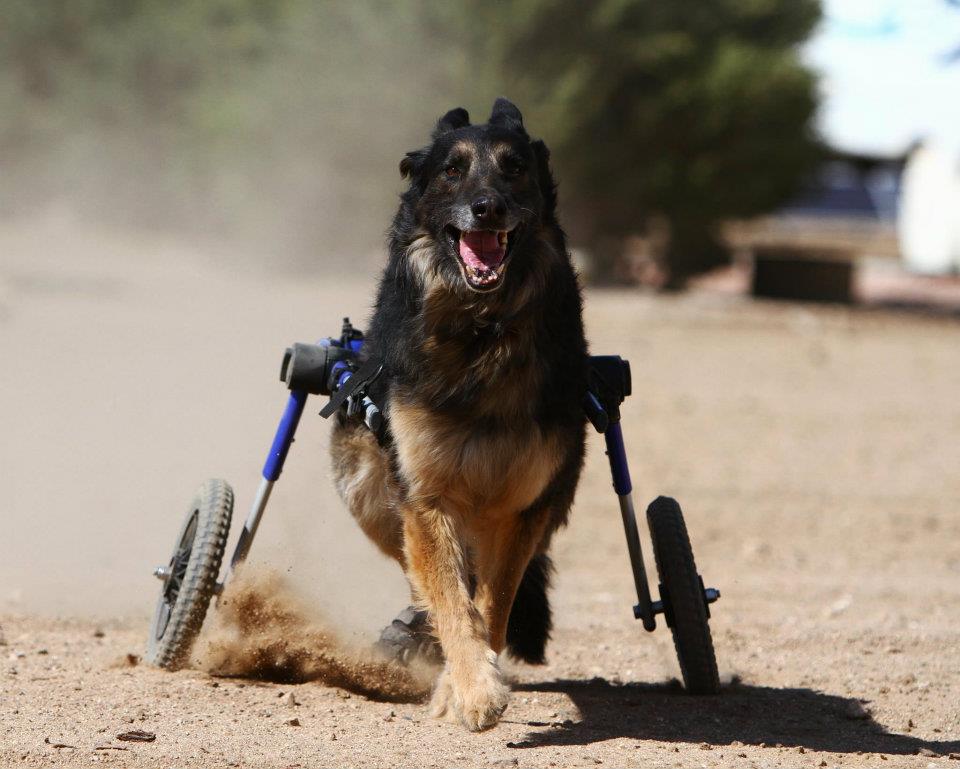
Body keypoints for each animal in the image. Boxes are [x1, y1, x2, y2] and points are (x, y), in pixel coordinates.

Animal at [330, 98, 587, 731]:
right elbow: (449, 596)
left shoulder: (524, 503)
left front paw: (466, 686)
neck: (482, 329)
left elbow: (490, 603)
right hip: (367, 489)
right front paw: (472, 689)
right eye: (452, 170)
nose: (487, 206)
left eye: (515, 167)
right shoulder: (425, 493)